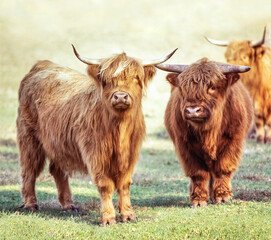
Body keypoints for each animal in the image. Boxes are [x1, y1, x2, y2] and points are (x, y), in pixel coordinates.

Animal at [17, 45, 178, 225]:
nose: (120, 96)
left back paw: (68, 205)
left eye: (135, 78)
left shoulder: (131, 153)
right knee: (29, 170)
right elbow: (105, 185)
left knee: (57, 170)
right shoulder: (96, 153)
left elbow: (124, 184)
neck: (119, 129)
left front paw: (128, 214)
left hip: (58, 144)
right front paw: (108, 218)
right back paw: (31, 204)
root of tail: (43, 65)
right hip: (29, 138)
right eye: (107, 80)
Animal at [157, 58, 255, 206]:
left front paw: (223, 196)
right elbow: (198, 174)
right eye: (183, 88)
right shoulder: (185, 147)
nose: (192, 110)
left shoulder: (233, 142)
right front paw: (198, 200)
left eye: (212, 87)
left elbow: (222, 169)